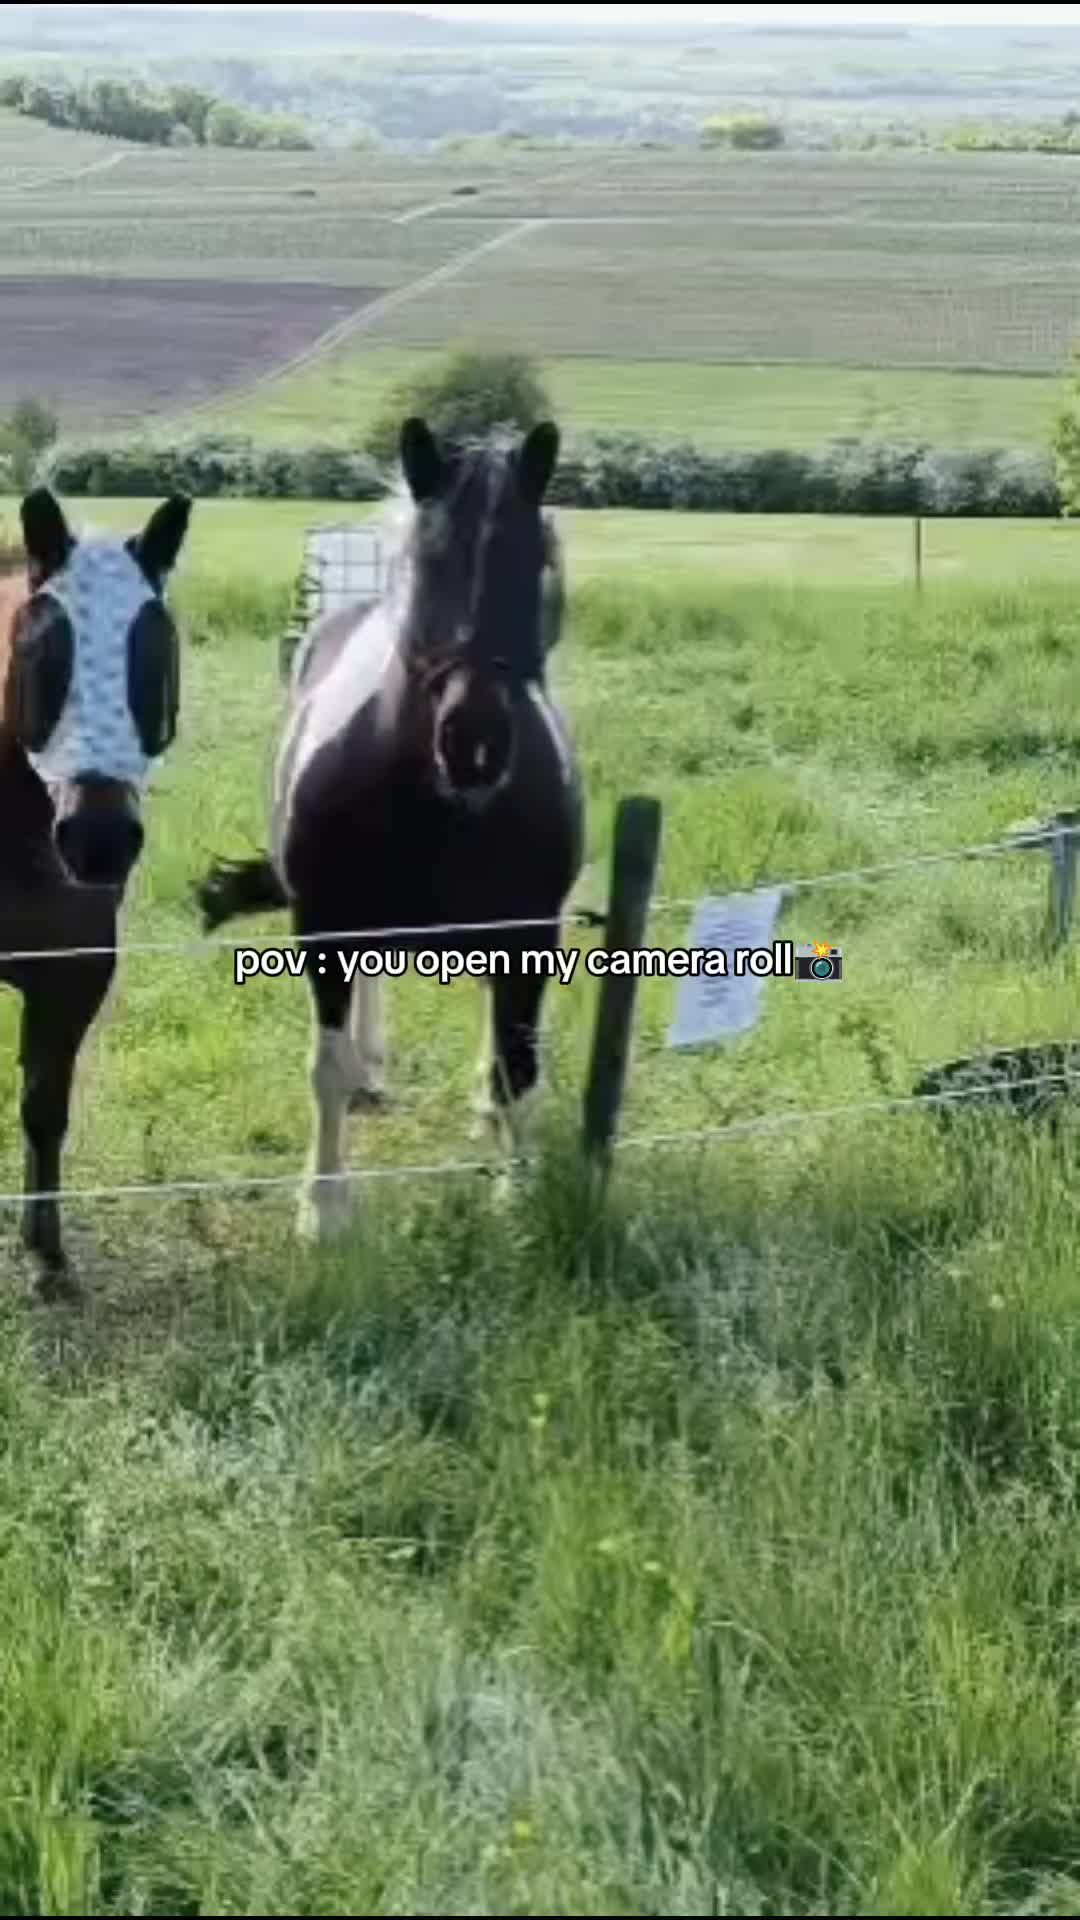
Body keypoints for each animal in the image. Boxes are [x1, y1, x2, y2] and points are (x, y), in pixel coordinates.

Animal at [197, 416, 584, 1243]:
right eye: (428, 562)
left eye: (536, 561)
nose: (474, 745)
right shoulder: (324, 925)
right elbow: (326, 1066)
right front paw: (322, 1210)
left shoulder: (529, 931)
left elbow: (518, 1065)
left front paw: (517, 1194)